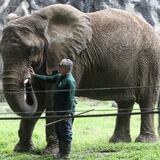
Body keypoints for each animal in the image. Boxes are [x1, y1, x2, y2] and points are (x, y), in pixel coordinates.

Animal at [0, 3, 160, 153]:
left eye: (31, 50)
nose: (28, 77)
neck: (37, 19)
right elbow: (39, 101)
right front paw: (21, 150)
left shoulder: (73, 56)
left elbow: (53, 99)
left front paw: (50, 152)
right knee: (125, 101)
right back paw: (118, 142)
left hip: (149, 61)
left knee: (146, 100)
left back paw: (144, 141)